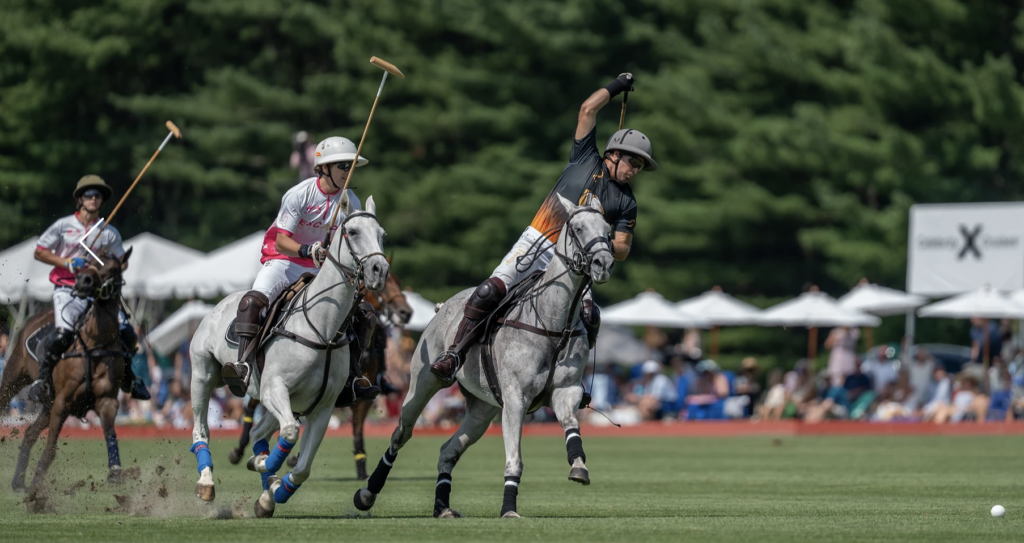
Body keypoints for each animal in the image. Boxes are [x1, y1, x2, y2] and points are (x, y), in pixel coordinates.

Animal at [0, 246, 134, 487]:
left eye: (113, 268)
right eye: (89, 262)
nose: (83, 281)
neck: (95, 342)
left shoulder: (107, 400)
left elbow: (110, 433)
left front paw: (115, 472)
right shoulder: (62, 401)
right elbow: (51, 447)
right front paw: (37, 484)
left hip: (47, 404)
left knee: (29, 434)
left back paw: (18, 481)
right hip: (15, 376)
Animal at [228, 266, 411, 477]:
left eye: (398, 282)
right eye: (383, 286)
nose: (406, 313)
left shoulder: (357, 394)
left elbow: (356, 428)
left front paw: (361, 466)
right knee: (251, 409)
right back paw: (239, 451)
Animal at [352, 194, 610, 516]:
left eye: (608, 229)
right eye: (577, 228)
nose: (603, 263)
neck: (553, 324)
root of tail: (443, 306)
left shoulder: (566, 389)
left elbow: (570, 423)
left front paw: (578, 466)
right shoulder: (515, 398)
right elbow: (515, 460)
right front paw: (509, 509)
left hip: (481, 409)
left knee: (447, 450)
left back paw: (442, 507)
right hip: (422, 384)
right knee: (401, 434)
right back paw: (367, 493)